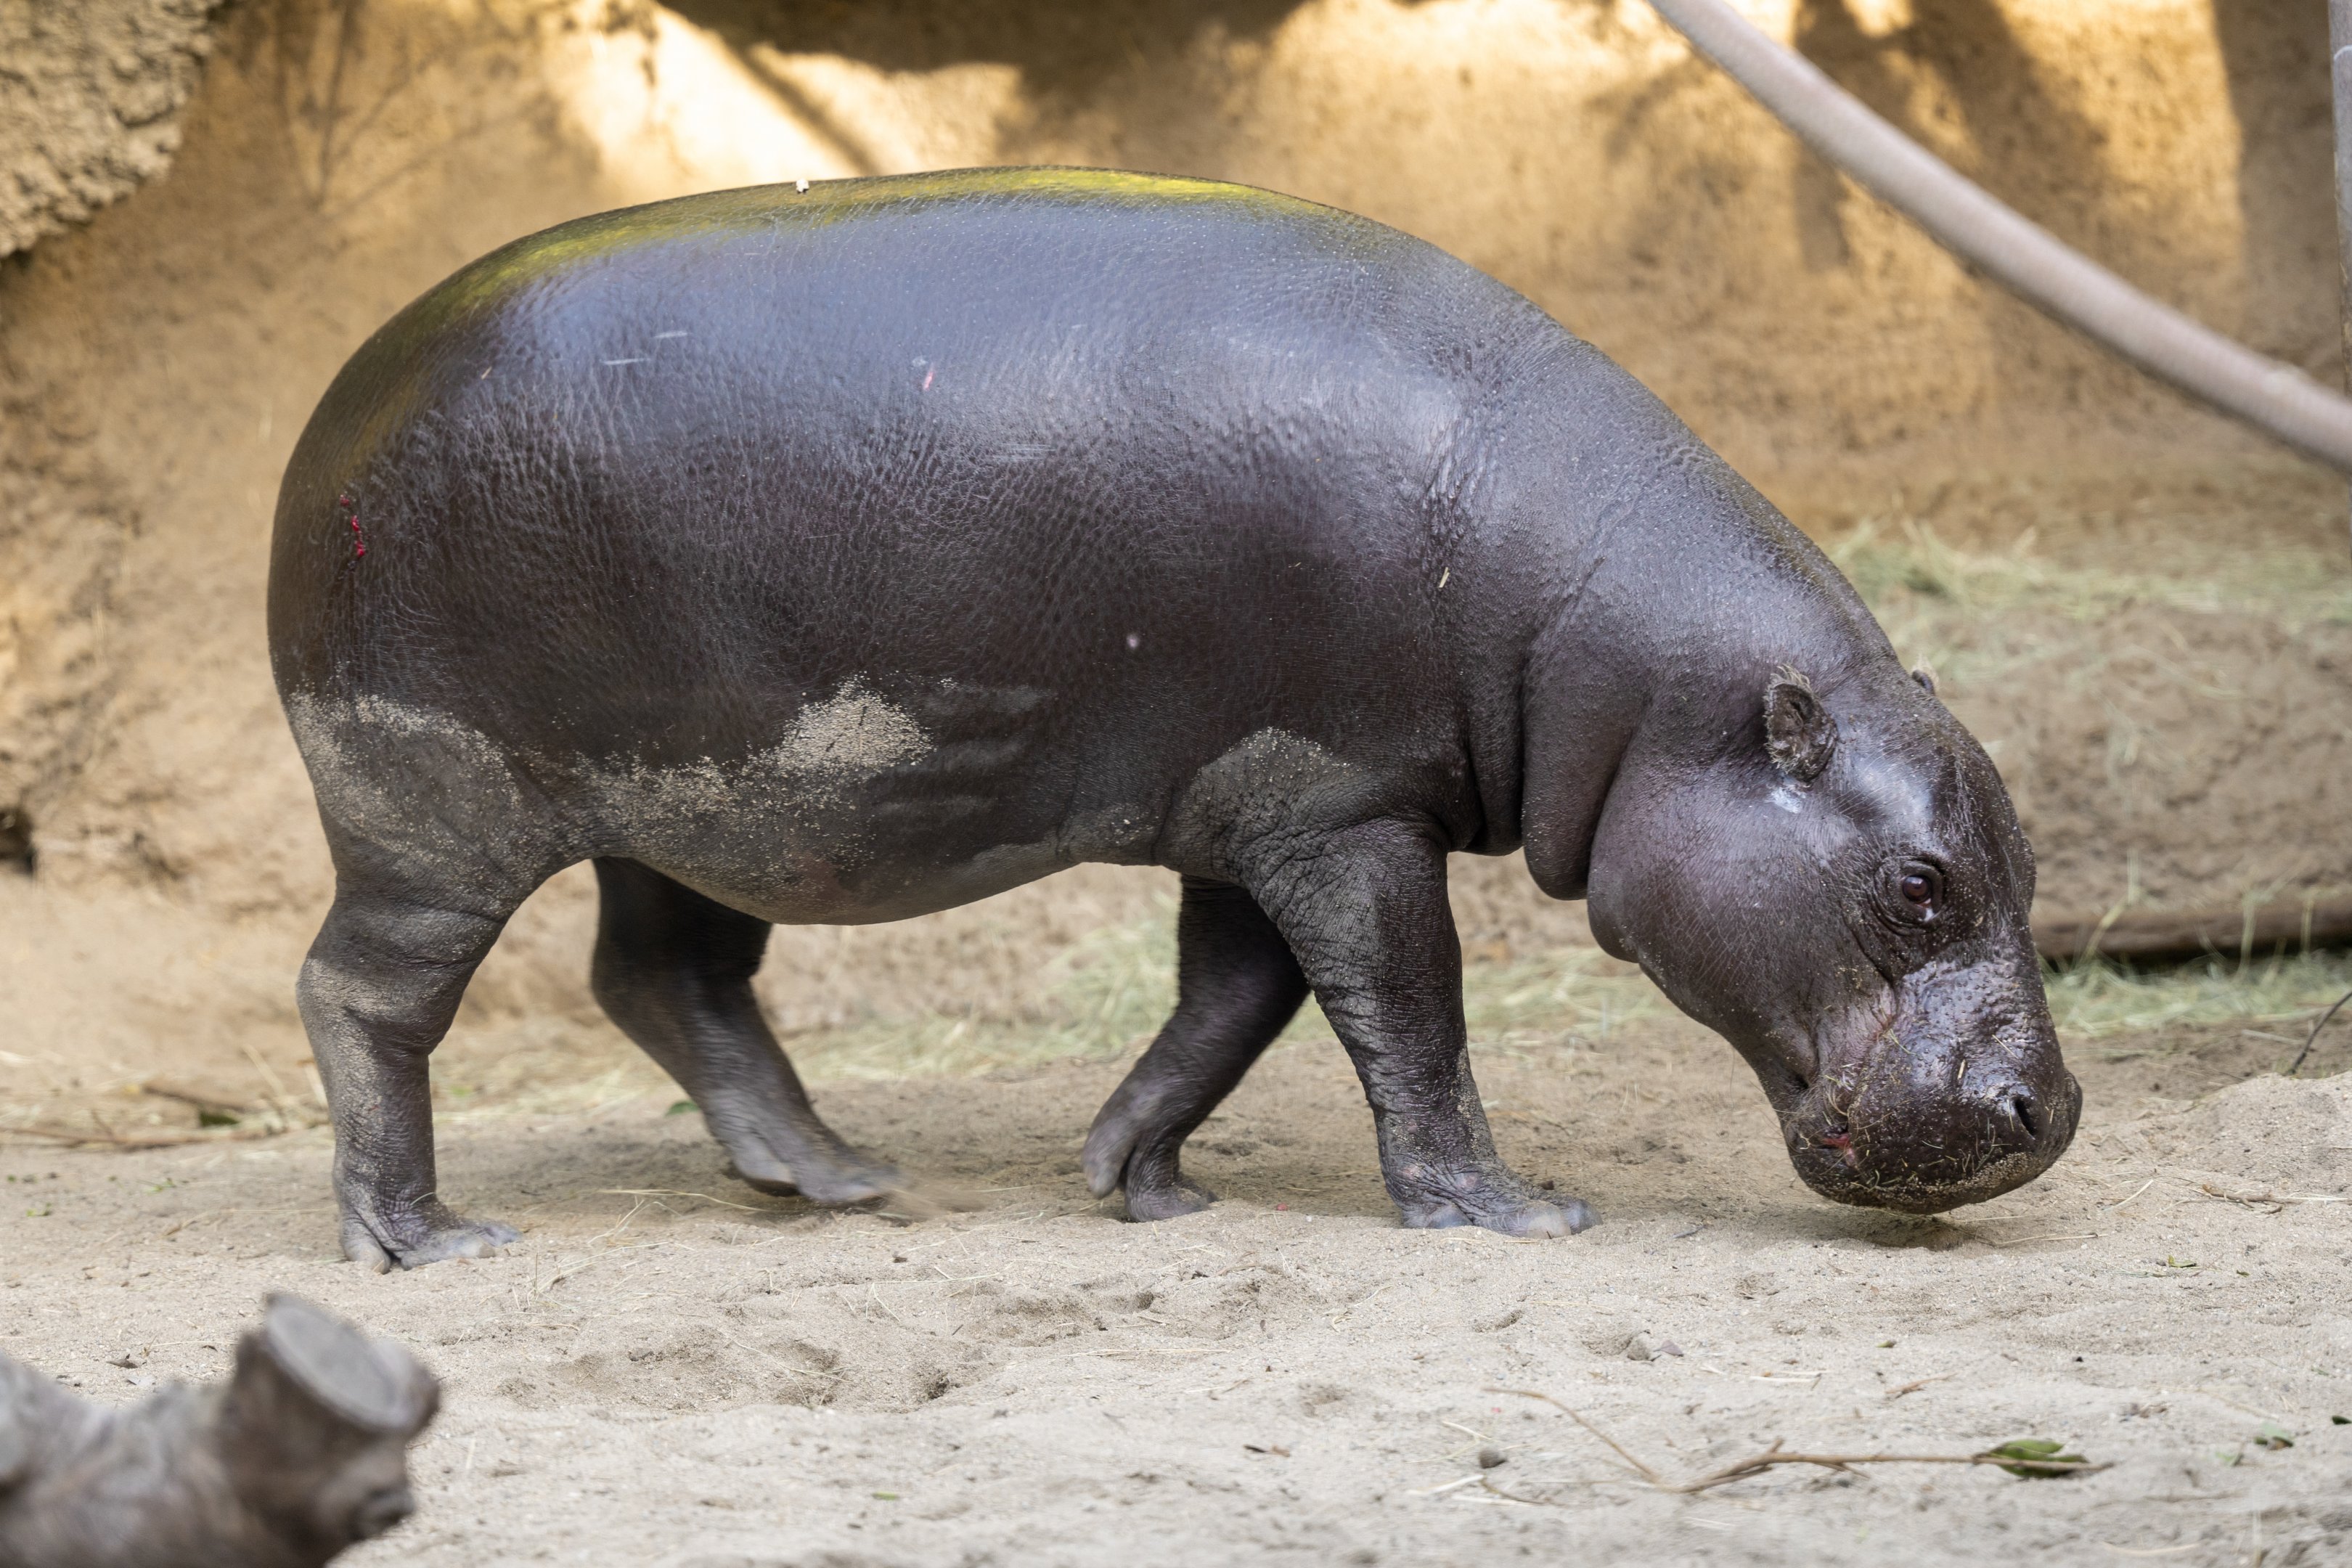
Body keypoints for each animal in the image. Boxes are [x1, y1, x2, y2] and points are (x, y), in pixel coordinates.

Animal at [269, 168, 2079, 1270]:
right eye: (1923, 887)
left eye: (2026, 855)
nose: (2050, 1118)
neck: (1631, 678)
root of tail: (334, 409)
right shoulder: (1347, 810)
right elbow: (1411, 1013)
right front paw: (1515, 1217)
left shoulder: (1255, 805)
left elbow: (1234, 1005)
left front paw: (1138, 1181)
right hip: (435, 808)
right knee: (364, 996)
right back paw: (426, 1241)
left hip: (693, 809)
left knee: (666, 975)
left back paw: (838, 1178)